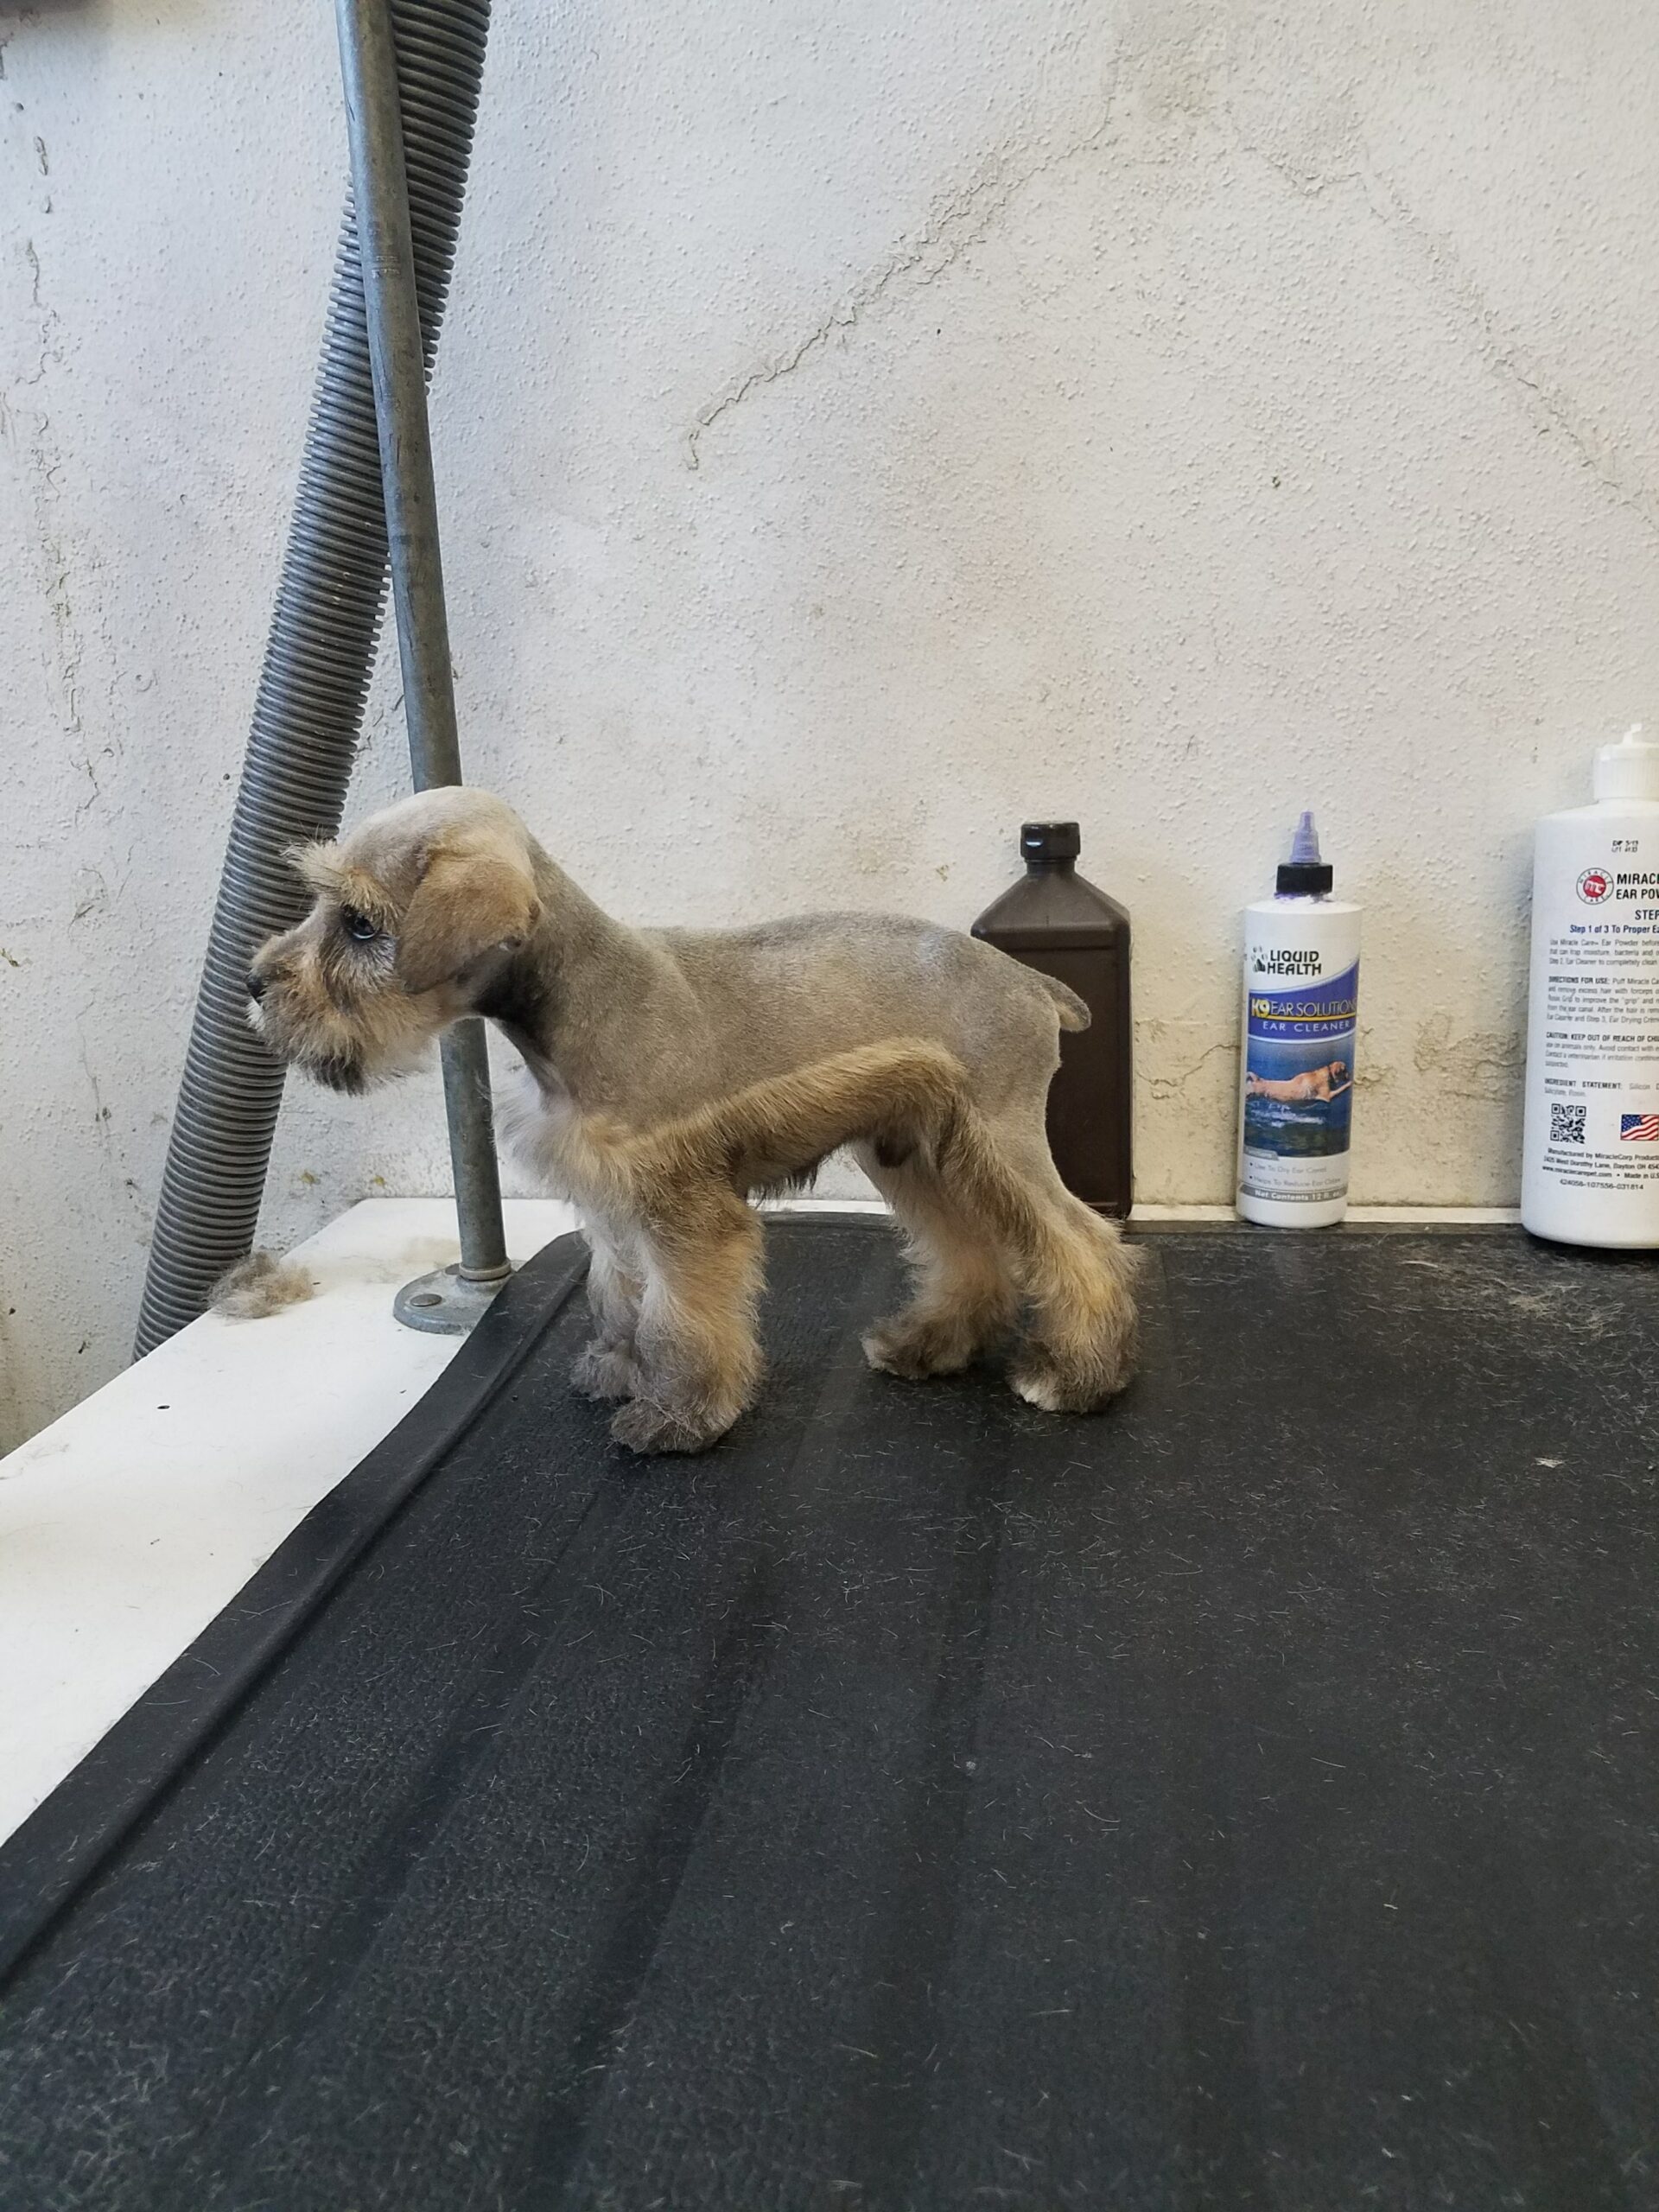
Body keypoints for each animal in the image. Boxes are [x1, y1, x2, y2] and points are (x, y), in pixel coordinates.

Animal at [249, 788, 1140, 1454]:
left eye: (362, 924)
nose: (256, 984)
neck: (584, 997)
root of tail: (1030, 983)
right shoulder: (612, 1205)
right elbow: (617, 1296)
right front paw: (617, 1369)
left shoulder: (687, 1216)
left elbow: (680, 1321)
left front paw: (679, 1413)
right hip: (917, 1157)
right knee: (968, 1249)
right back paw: (929, 1344)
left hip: (998, 1140)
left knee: (1083, 1242)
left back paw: (1076, 1376)